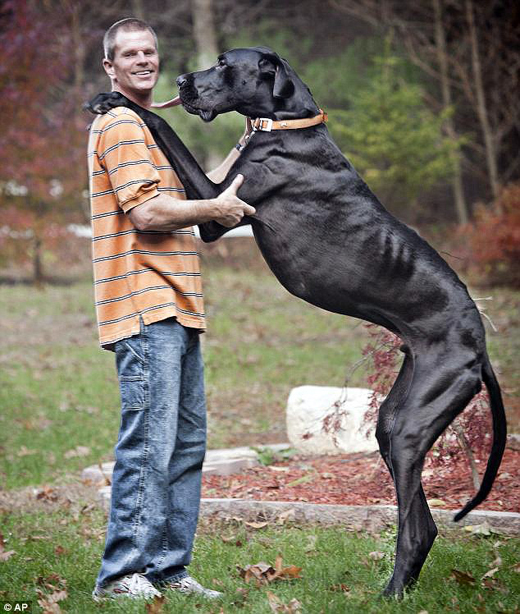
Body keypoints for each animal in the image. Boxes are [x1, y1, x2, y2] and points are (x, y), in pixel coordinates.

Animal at [87, 45, 506, 600]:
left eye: (225, 64)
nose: (180, 81)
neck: (285, 124)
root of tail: (479, 345)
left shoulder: (218, 206)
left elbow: (161, 125)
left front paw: (117, 100)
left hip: (415, 423)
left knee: (415, 525)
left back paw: (392, 591)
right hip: (396, 419)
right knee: (424, 519)